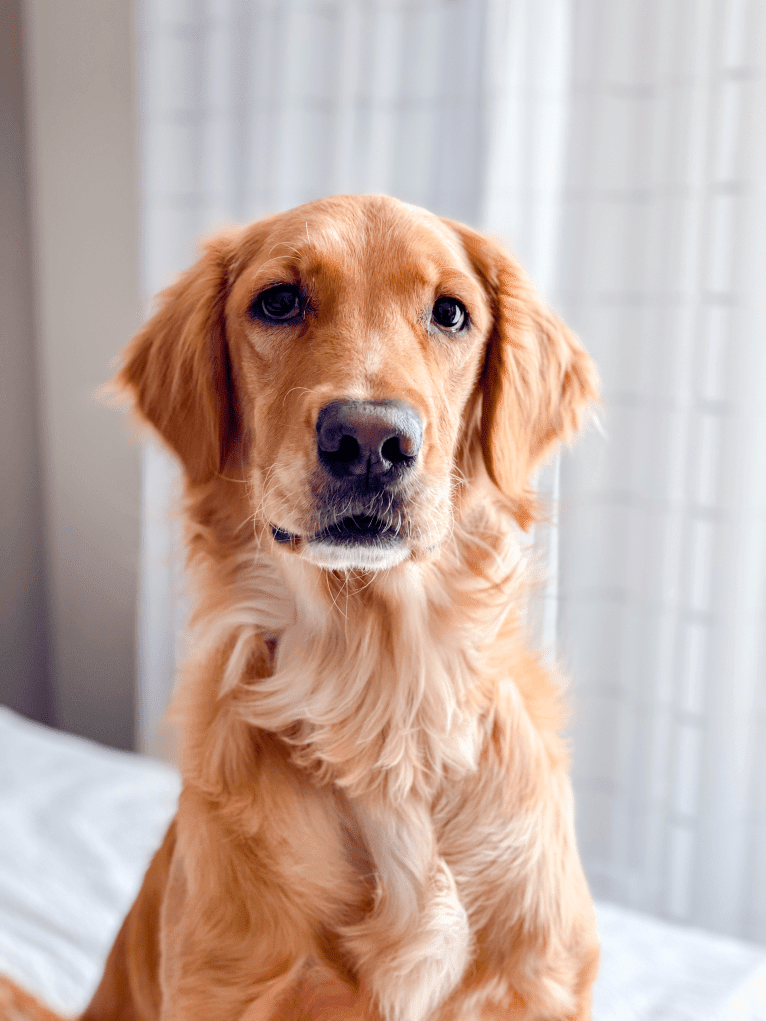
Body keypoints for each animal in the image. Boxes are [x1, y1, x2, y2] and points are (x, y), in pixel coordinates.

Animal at [0, 195, 600, 1016]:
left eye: (451, 312)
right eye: (279, 301)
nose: (371, 439)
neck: (380, 700)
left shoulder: (541, 980)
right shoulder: (226, 984)